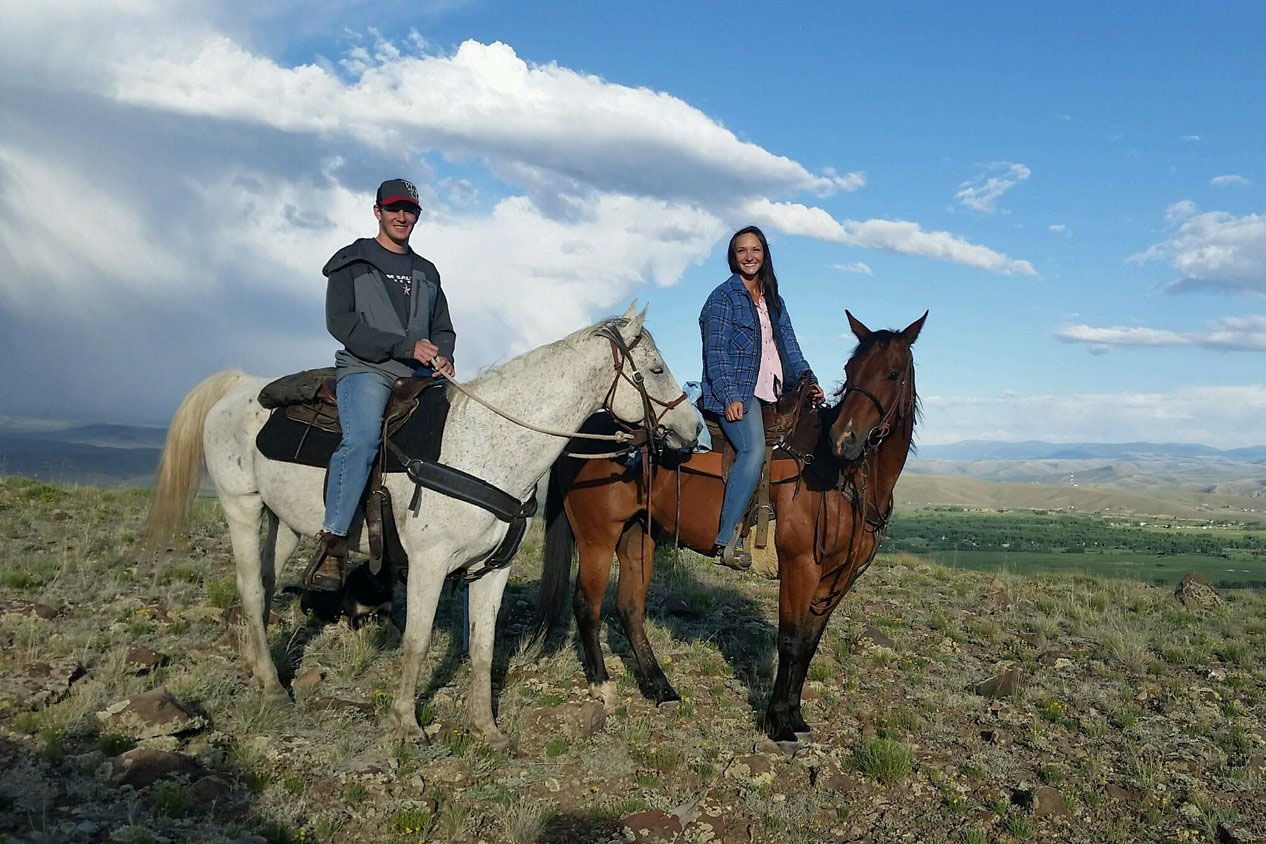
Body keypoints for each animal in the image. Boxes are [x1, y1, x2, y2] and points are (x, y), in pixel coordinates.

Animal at [153, 307, 703, 749]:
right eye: (656, 368)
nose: (694, 430)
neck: (487, 444)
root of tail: (240, 383)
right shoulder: (428, 563)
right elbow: (416, 641)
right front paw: (406, 722)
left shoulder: (492, 569)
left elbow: (482, 647)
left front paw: (487, 729)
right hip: (241, 507)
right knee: (249, 589)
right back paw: (270, 684)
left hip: (284, 521)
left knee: (265, 586)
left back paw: (256, 664)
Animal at [539, 312, 926, 744]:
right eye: (849, 370)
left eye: (892, 373)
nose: (845, 438)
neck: (836, 473)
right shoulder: (800, 566)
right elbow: (791, 641)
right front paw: (779, 723)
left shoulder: (836, 578)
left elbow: (809, 644)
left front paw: (796, 717)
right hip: (598, 537)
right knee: (586, 605)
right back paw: (603, 687)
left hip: (637, 534)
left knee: (630, 608)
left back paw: (661, 688)